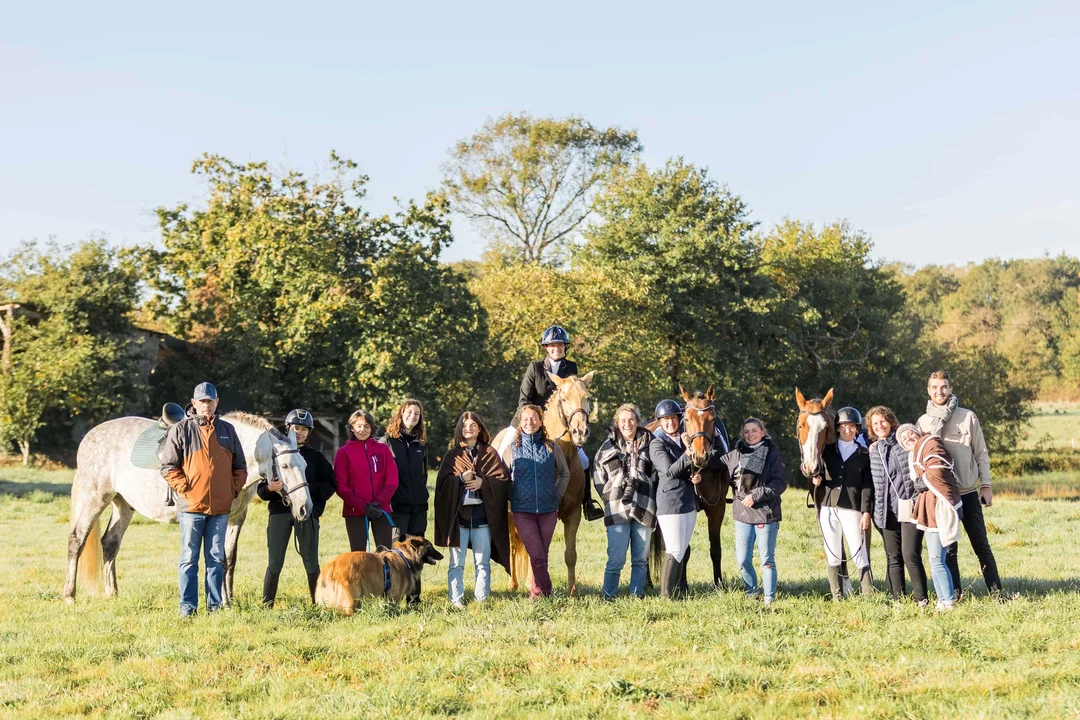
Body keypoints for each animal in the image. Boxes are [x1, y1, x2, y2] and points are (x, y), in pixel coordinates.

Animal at [62, 410, 311, 604]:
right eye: (285, 465)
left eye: (305, 464)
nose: (304, 508)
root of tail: (90, 436)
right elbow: (219, 559)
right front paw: (223, 602)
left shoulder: (237, 517)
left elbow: (230, 559)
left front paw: (230, 598)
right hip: (94, 498)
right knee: (76, 540)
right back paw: (70, 596)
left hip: (123, 504)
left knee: (110, 543)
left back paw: (112, 593)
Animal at [494, 371, 596, 595]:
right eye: (563, 399)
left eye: (587, 397)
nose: (580, 432)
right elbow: (537, 549)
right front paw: (537, 587)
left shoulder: (573, 513)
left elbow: (570, 554)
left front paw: (572, 592)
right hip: (508, 515)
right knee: (513, 545)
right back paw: (513, 584)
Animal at [648, 386, 734, 587]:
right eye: (687, 419)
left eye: (712, 418)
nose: (700, 455)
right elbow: (684, 551)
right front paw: (682, 585)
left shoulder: (717, 508)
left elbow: (715, 549)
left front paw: (719, 583)